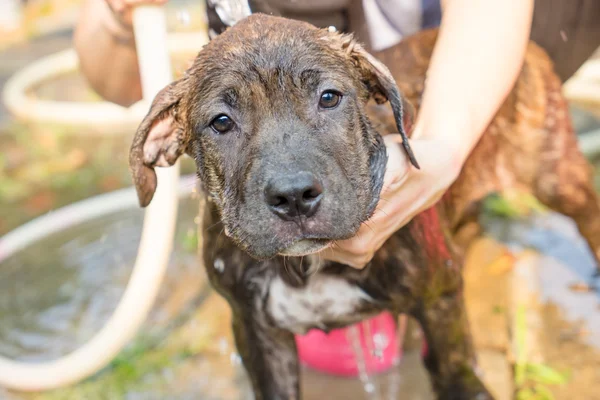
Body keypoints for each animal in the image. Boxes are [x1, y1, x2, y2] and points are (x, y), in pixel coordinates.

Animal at [129, 13, 600, 400]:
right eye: (221, 122)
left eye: (329, 97)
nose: (293, 195)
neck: (309, 266)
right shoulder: (255, 331)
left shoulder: (440, 297)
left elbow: (454, 368)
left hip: (556, 172)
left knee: (587, 212)